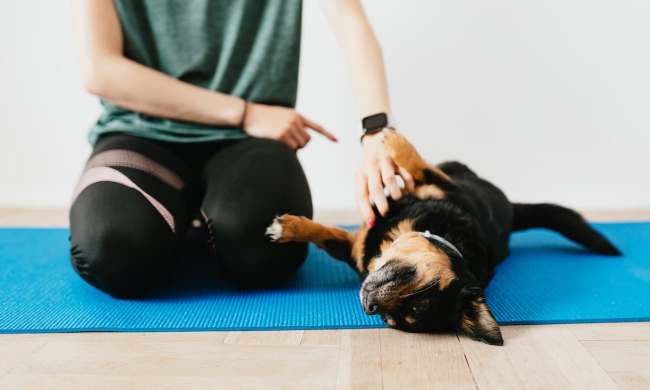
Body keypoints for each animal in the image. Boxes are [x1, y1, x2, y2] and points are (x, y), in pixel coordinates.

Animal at [264, 129, 616, 346]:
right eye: (424, 285)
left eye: (395, 318)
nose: (369, 305)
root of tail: (511, 211)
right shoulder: (366, 236)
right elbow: (325, 233)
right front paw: (289, 228)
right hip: (455, 170)